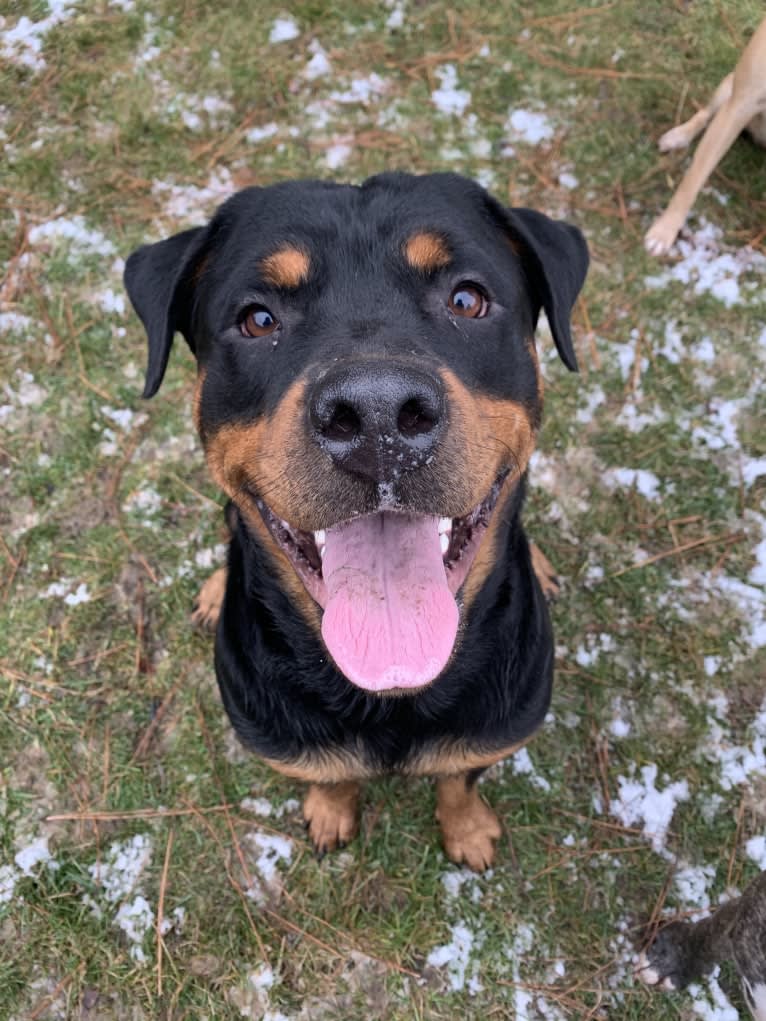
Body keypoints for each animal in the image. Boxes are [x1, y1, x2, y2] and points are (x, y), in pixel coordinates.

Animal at [124, 173, 588, 869]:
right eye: (257, 318)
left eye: (468, 299)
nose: (377, 414)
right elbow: (331, 775)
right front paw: (330, 811)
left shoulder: (496, 725)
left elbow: (459, 776)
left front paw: (468, 831)